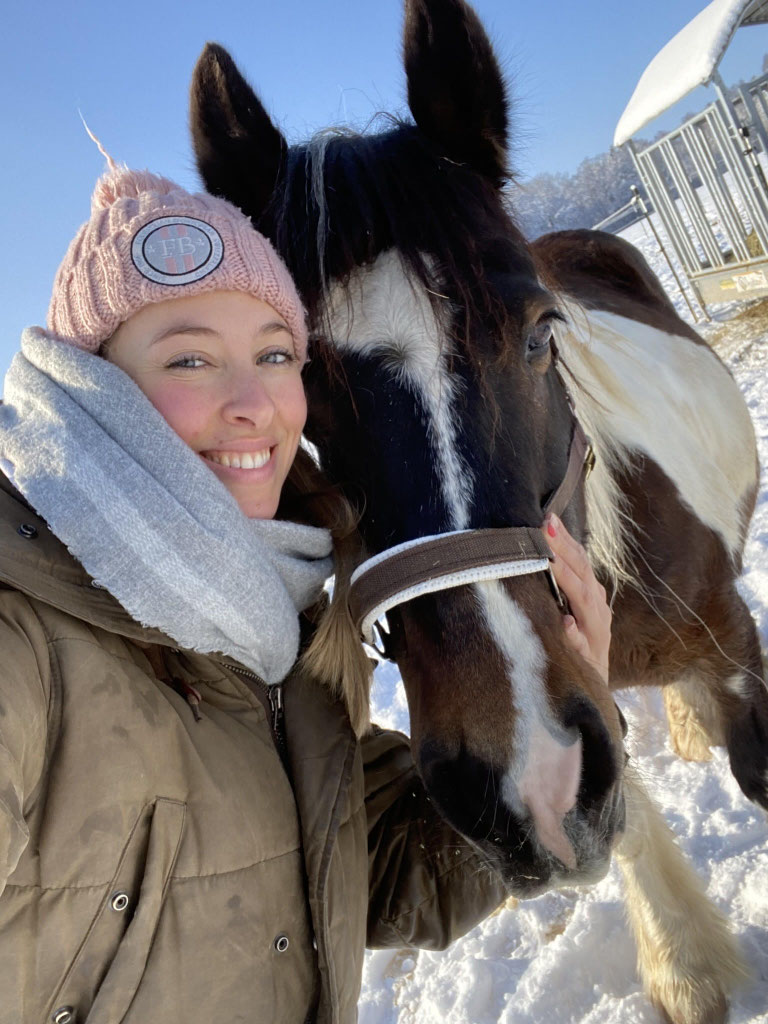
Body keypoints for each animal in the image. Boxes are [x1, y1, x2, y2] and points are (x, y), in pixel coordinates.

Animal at [190, 1, 766, 1020]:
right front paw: (685, 963)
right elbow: (619, 808)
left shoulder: (734, 647)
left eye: (540, 332)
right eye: (299, 393)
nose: (519, 775)